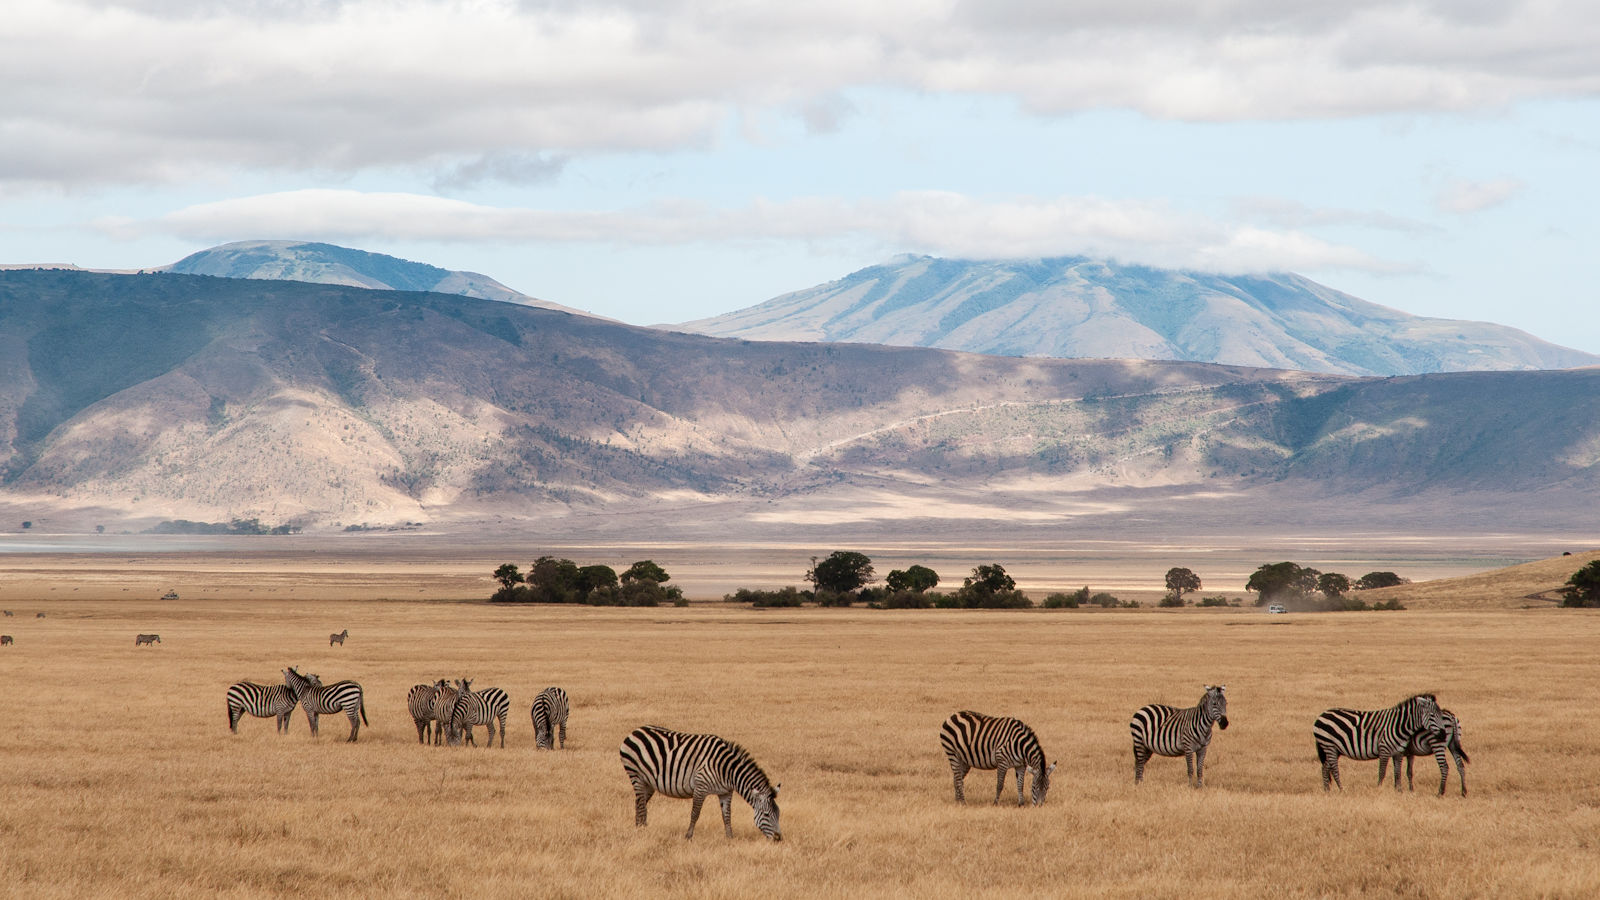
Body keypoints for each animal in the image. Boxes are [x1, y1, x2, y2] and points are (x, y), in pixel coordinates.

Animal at [617, 720, 780, 839]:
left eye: (778, 814)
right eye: (766, 815)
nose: (779, 839)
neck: (726, 769)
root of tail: (635, 731)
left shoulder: (726, 792)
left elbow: (727, 815)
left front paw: (730, 838)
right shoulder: (701, 786)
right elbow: (695, 813)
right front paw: (688, 836)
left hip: (648, 782)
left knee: (640, 802)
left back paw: (641, 827)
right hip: (636, 775)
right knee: (640, 804)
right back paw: (641, 832)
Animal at [1312, 688, 1452, 787]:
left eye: (1441, 715)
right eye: (1432, 715)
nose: (1443, 735)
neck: (1399, 725)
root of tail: (1321, 715)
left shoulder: (1398, 752)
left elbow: (1397, 773)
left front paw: (1399, 791)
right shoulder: (1384, 750)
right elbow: (1382, 772)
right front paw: (1379, 788)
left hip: (1334, 749)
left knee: (1325, 767)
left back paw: (1327, 790)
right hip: (1329, 745)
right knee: (1334, 769)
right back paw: (1341, 789)